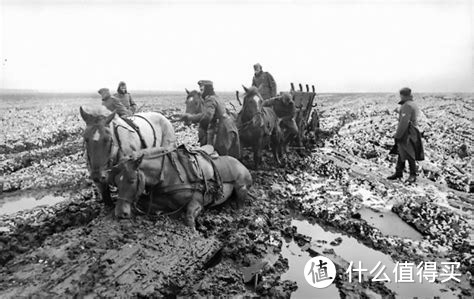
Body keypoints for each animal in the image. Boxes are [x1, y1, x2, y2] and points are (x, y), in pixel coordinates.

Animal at [109, 146, 254, 230]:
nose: (120, 214)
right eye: (116, 182)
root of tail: (240, 162)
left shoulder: (197, 202)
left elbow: (189, 218)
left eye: (132, 180)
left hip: (241, 188)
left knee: (240, 204)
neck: (168, 175)